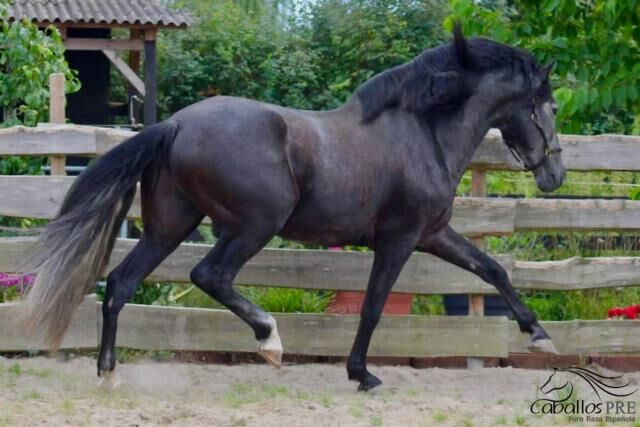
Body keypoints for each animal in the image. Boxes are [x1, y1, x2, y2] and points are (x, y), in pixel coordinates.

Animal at [20, 27, 564, 392]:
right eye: (551, 108)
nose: (554, 174)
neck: (423, 134)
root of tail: (175, 124)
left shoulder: (433, 234)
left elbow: (493, 270)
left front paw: (539, 336)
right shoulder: (400, 239)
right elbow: (372, 306)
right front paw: (362, 374)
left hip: (168, 227)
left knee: (120, 283)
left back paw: (108, 374)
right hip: (256, 224)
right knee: (208, 275)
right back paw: (270, 341)